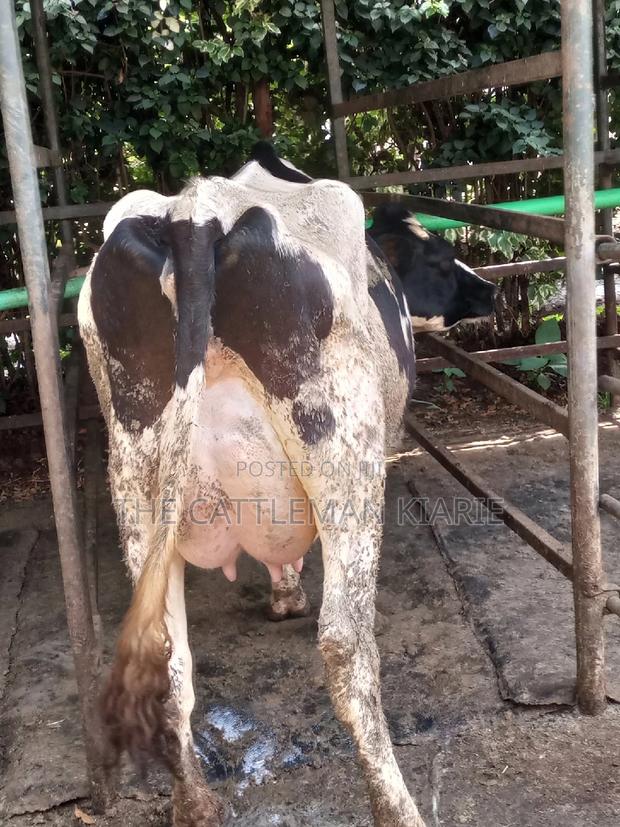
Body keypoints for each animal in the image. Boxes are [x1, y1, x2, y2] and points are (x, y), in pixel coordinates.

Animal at [78, 146, 494, 827]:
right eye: (437, 256)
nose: (489, 288)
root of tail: (196, 212)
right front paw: (290, 592)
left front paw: (282, 593)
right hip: (342, 448)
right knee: (346, 644)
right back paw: (398, 806)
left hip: (133, 468)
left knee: (165, 656)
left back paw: (195, 805)